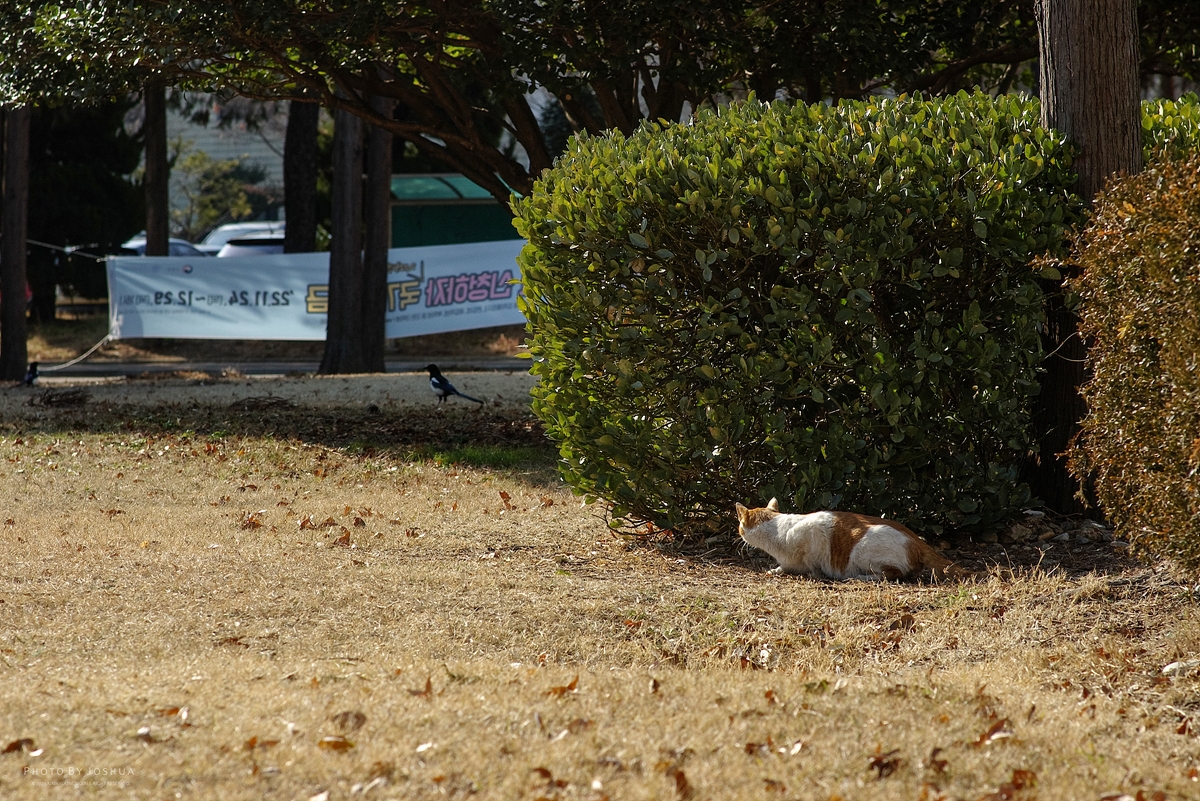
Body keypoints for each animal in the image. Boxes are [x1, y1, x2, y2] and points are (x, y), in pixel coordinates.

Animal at [735, 498, 970, 581]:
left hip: (862, 551)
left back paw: (860, 577)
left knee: (892, 575)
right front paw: (777, 570)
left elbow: (812, 564)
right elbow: (786, 566)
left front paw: (815, 574)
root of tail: (918, 541)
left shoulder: (813, 538)